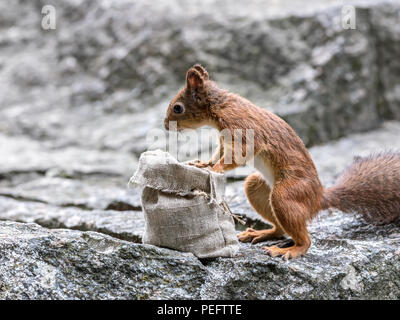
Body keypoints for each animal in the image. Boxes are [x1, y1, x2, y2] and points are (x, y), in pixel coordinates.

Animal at [162, 64, 400, 260]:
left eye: (177, 108)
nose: (165, 125)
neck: (220, 106)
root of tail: (317, 199)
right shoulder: (223, 140)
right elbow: (218, 153)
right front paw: (203, 165)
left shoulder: (242, 128)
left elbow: (240, 153)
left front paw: (218, 168)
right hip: (258, 189)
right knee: (280, 229)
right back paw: (261, 233)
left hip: (286, 196)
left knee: (305, 240)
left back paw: (289, 250)